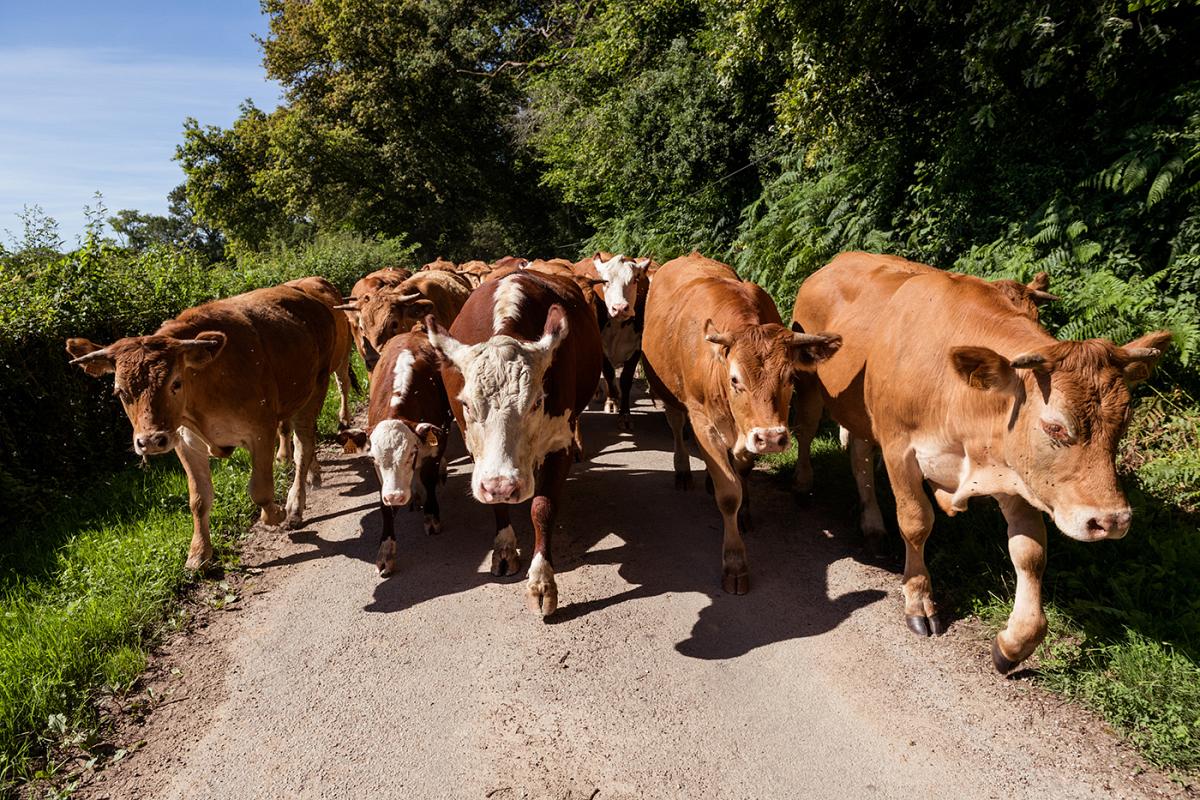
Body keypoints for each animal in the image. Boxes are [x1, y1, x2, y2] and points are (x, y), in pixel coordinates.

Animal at [68, 286, 336, 568]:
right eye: (120, 392)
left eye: (175, 383)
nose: (150, 441)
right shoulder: (184, 443)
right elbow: (198, 500)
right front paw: (199, 553)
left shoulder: (261, 431)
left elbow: (260, 491)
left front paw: (276, 513)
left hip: (315, 390)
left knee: (303, 447)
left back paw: (295, 505)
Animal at [427, 272, 604, 618]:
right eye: (466, 405)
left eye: (536, 402)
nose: (503, 485)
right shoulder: (478, 455)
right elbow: (497, 506)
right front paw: (505, 549)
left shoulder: (558, 442)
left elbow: (543, 508)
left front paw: (541, 582)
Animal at [648, 251, 844, 594]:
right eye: (735, 379)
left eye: (790, 378)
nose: (772, 438)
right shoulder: (703, 422)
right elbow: (729, 494)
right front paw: (735, 563)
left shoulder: (748, 433)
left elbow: (742, 472)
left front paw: (746, 510)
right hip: (666, 391)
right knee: (675, 424)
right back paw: (683, 471)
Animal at [792, 250, 1166, 671]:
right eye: (1054, 427)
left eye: (1125, 421)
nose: (1112, 520)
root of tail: (835, 262)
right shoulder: (899, 448)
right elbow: (916, 523)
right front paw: (919, 601)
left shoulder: (1013, 470)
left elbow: (1031, 551)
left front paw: (1014, 643)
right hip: (811, 387)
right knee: (809, 433)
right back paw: (805, 486)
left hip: (861, 415)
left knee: (858, 456)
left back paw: (872, 526)